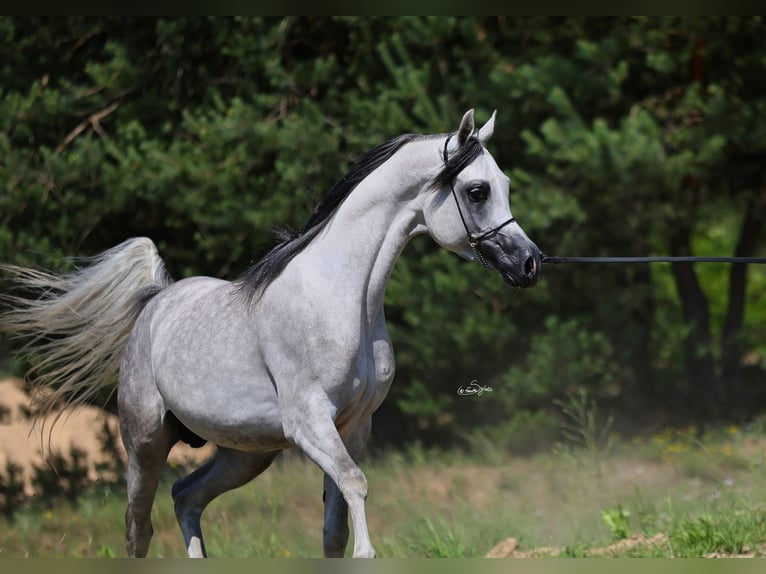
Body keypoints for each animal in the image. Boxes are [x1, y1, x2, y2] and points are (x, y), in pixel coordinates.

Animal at [0, 109, 541, 557]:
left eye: (504, 183)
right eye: (477, 190)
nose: (529, 263)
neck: (339, 295)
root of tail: (157, 301)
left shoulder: (352, 427)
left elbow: (334, 527)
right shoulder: (311, 423)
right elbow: (356, 486)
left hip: (244, 454)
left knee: (185, 498)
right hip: (145, 444)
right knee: (139, 528)